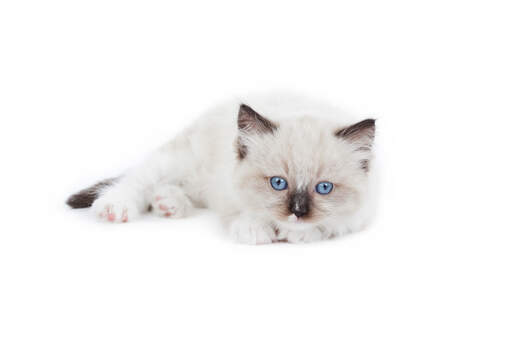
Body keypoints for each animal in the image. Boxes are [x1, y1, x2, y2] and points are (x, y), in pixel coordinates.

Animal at [67, 93, 376, 242]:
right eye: (278, 183)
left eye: (324, 188)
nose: (298, 212)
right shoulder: (227, 189)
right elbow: (244, 213)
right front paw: (254, 230)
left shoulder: (359, 215)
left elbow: (331, 225)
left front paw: (300, 233)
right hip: (179, 160)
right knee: (138, 179)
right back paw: (116, 207)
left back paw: (168, 203)